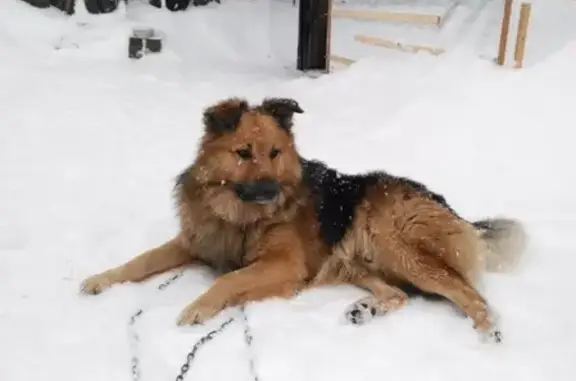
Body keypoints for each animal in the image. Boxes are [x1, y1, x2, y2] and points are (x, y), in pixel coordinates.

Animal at [81, 96, 528, 340]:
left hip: (398, 246)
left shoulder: (284, 264)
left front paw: (199, 307)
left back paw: (489, 330)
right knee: (399, 294)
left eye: (275, 153)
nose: (270, 191)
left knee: (472, 294)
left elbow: (230, 279)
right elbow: (140, 261)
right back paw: (365, 309)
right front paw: (100, 279)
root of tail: (451, 209)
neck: (239, 216)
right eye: (243, 153)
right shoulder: (195, 242)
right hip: (357, 263)